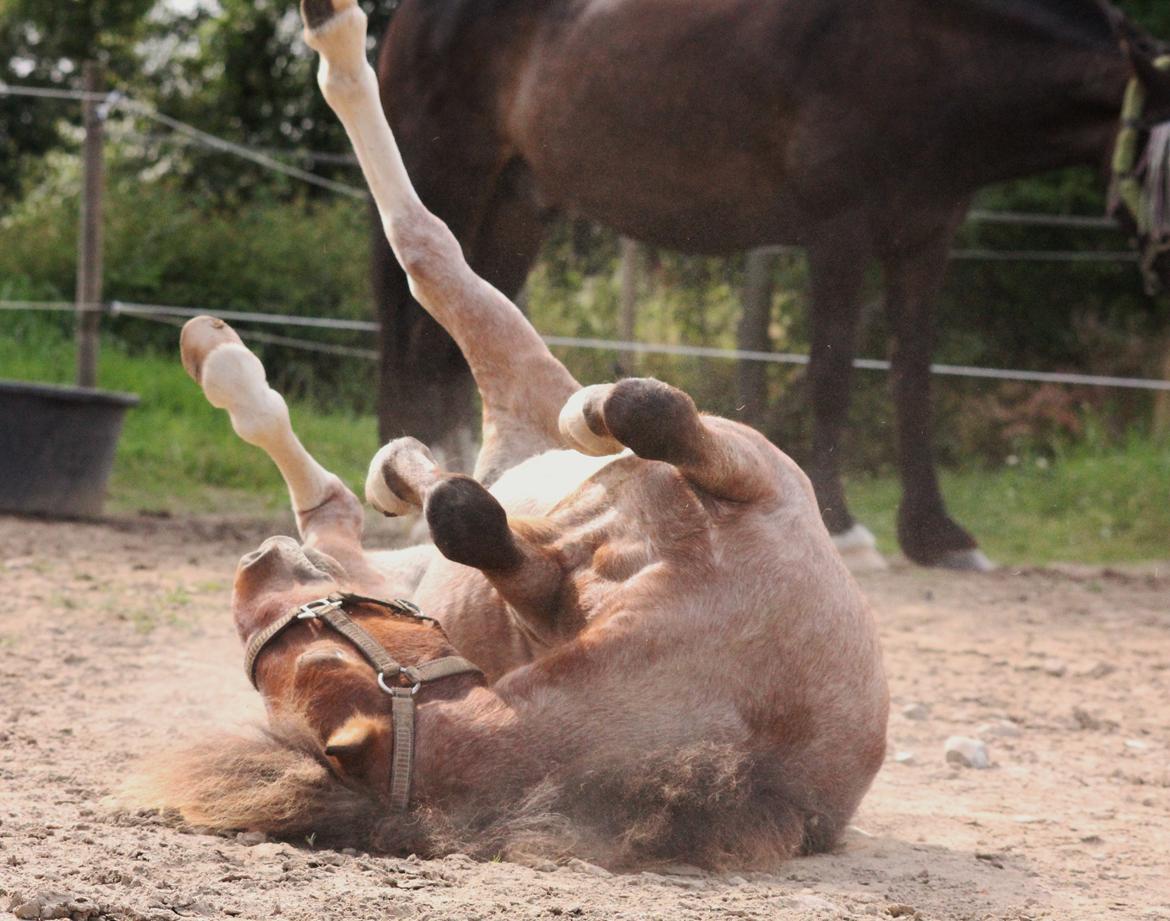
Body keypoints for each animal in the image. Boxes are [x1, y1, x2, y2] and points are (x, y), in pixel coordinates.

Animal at [369, 0, 1170, 568]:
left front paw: (938, 534)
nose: (1163, 269)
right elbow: (833, 374)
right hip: (452, 175)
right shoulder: (840, 233)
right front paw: (847, 528)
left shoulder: (925, 240)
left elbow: (913, 380)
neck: (929, 47)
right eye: (1159, 158)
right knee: (412, 335)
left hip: (518, 207)